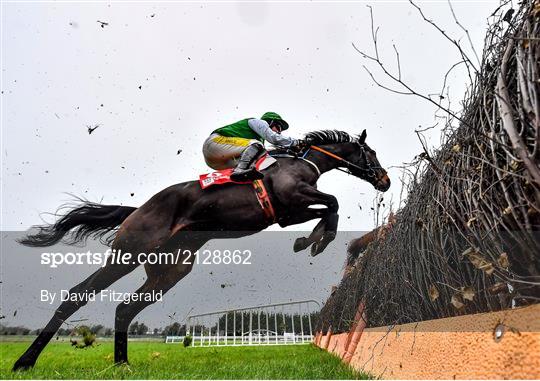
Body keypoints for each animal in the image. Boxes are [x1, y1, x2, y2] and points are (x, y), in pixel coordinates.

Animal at [13, 129, 388, 370]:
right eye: (371, 153)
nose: (384, 180)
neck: (300, 165)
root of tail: (136, 210)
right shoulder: (291, 202)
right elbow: (333, 203)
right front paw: (313, 242)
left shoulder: (287, 213)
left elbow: (330, 208)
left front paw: (310, 240)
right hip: (128, 254)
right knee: (77, 295)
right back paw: (24, 362)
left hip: (171, 269)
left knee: (124, 308)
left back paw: (122, 365)